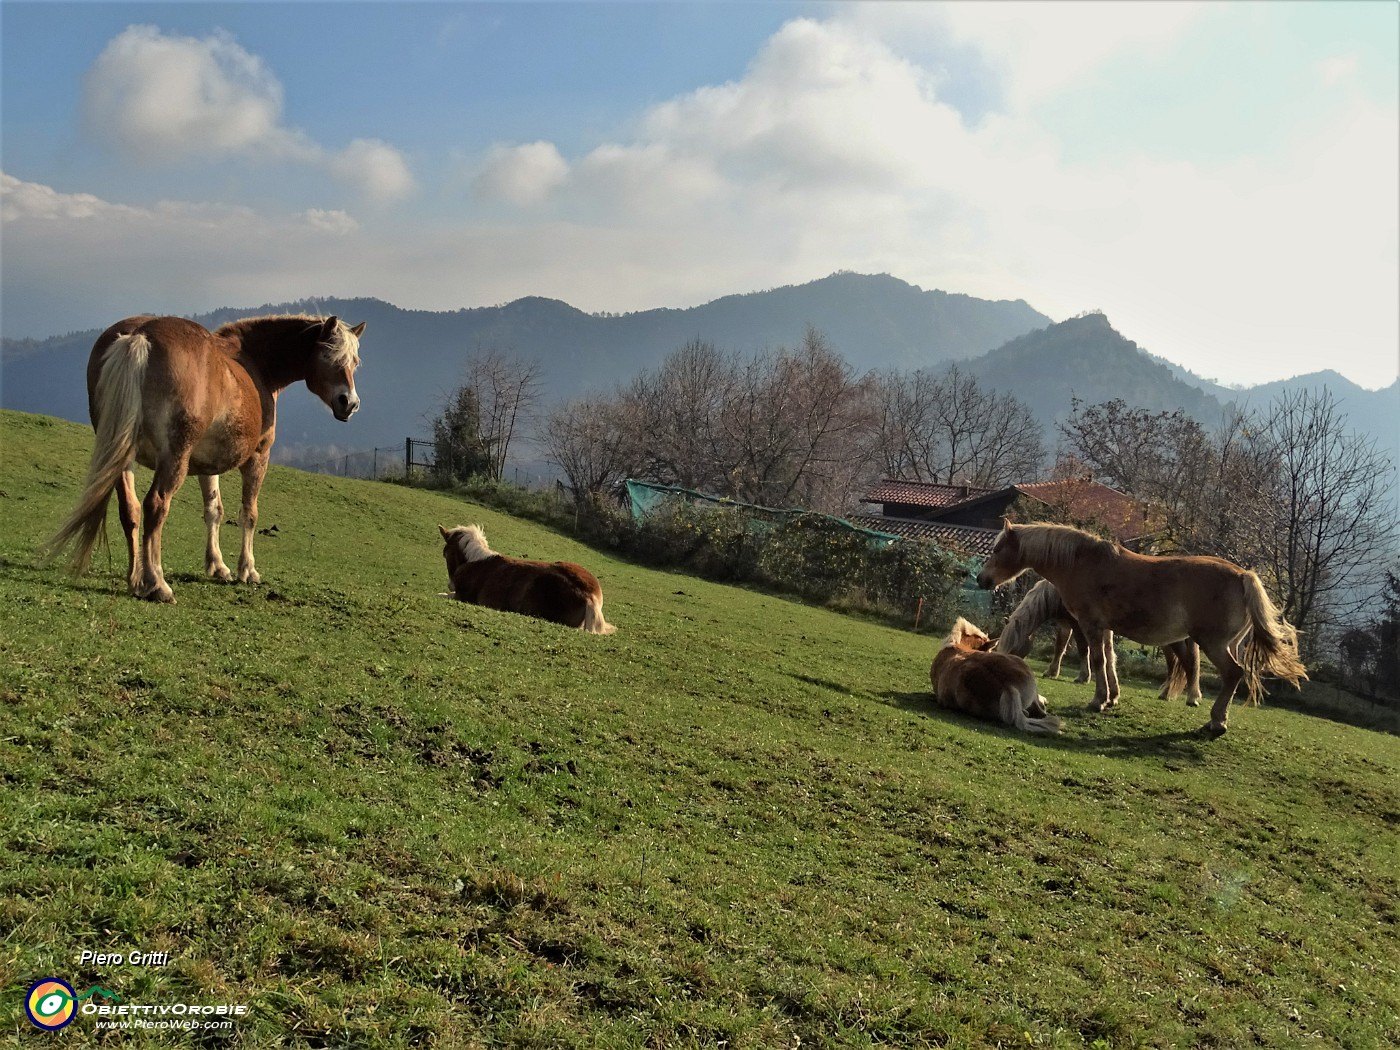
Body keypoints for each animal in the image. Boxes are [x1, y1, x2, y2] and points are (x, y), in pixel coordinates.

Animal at [45, 312, 366, 604]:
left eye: (354, 362)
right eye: (329, 355)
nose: (349, 403)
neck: (254, 364)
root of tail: (140, 335)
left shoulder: (206, 464)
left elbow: (214, 510)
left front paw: (217, 566)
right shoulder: (258, 457)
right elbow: (249, 514)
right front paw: (247, 570)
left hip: (125, 457)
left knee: (131, 510)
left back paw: (135, 578)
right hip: (174, 458)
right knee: (155, 506)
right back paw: (156, 584)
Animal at [436, 523, 613, 638]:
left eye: (445, 553)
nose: (450, 584)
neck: (475, 563)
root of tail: (590, 596)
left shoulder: (462, 597)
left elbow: (440, 595)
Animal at [991, 579, 1209, 711]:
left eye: (1014, 649)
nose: (1009, 670)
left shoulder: (1080, 624)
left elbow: (1083, 649)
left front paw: (1083, 677)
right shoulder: (1065, 623)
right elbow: (1061, 647)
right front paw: (1052, 672)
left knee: (1189, 662)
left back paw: (1189, 697)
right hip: (1167, 642)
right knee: (1175, 664)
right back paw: (1167, 693)